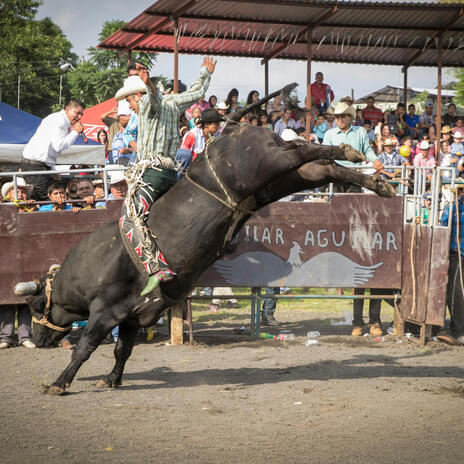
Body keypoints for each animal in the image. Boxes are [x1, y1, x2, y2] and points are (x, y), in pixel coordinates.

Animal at [20, 85, 394, 394]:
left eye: (38, 306)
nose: (37, 339)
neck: (92, 267)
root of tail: (232, 129)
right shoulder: (131, 317)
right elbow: (122, 349)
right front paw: (111, 379)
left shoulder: (105, 312)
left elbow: (86, 347)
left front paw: (59, 383)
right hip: (278, 181)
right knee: (321, 167)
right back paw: (377, 181)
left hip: (268, 163)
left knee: (302, 149)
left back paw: (352, 152)